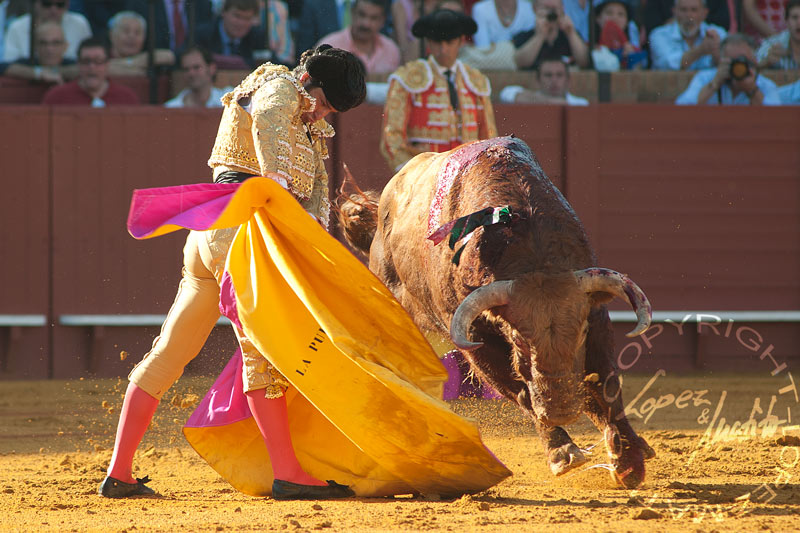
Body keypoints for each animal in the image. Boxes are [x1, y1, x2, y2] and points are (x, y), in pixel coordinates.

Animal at [338, 134, 656, 486]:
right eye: (518, 341)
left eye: (581, 332)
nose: (558, 410)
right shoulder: (477, 339)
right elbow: (522, 392)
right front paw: (563, 452)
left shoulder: (595, 317)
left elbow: (606, 383)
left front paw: (628, 458)